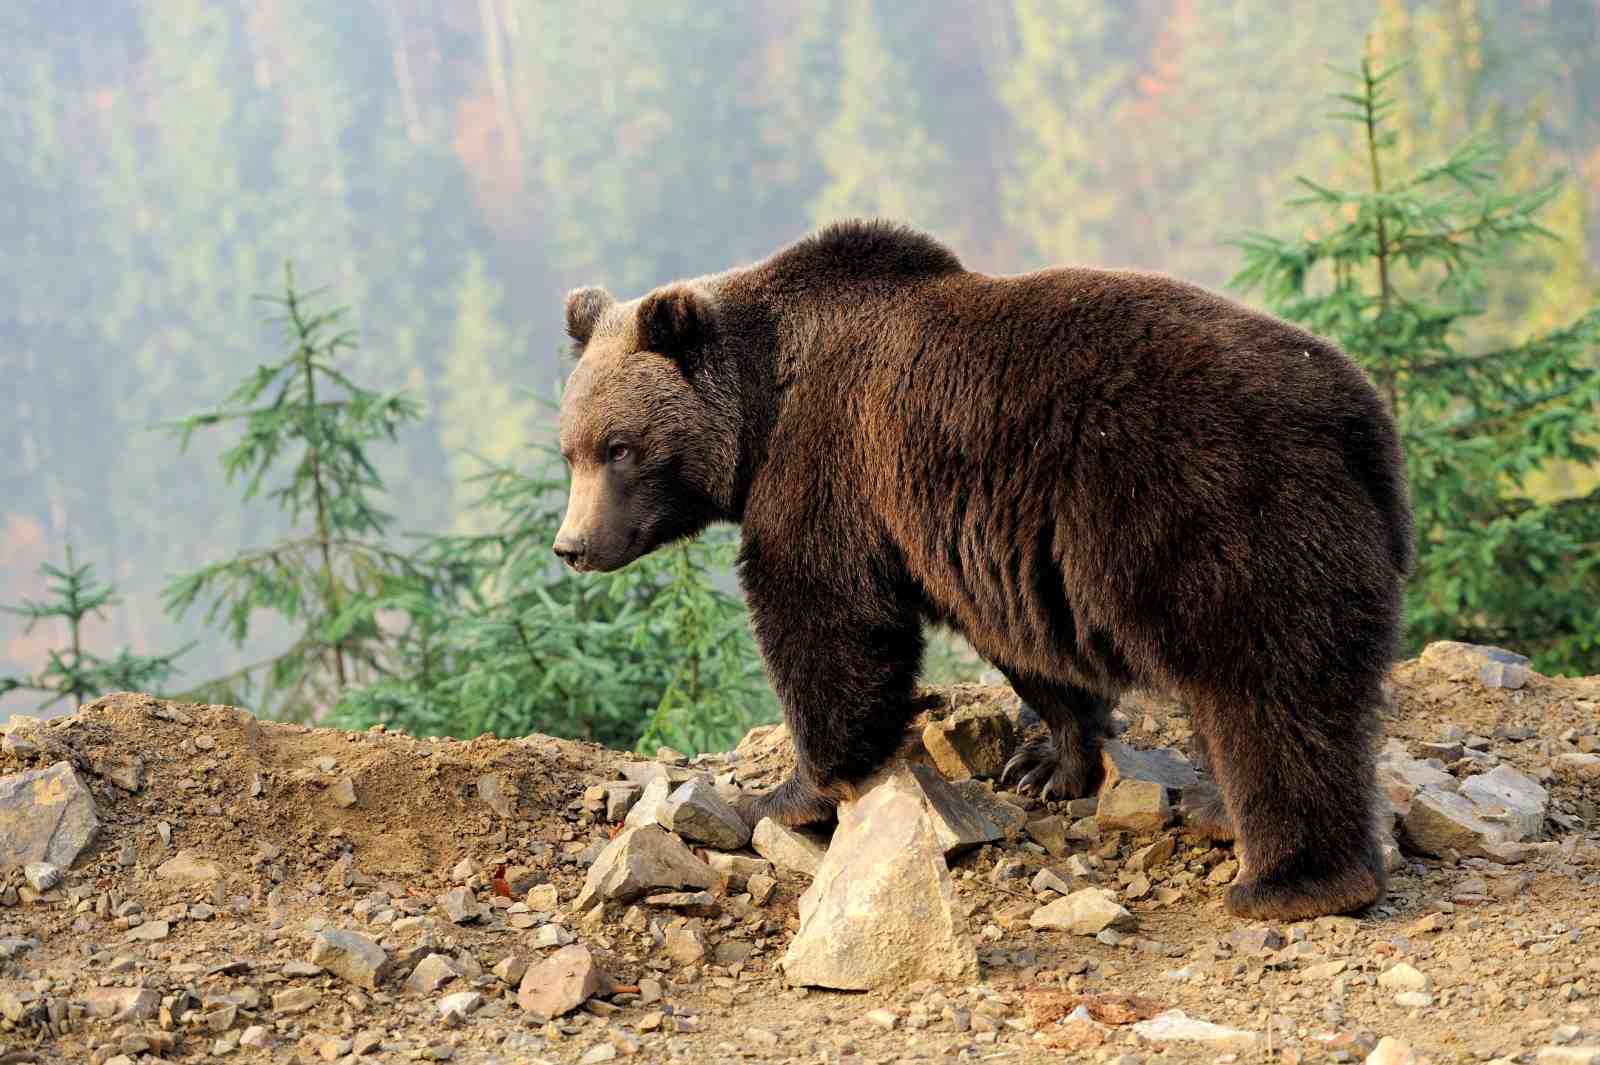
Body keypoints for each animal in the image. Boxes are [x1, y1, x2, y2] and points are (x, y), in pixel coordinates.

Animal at [553, 218, 1411, 921]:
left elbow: (825, 617)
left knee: (1269, 693)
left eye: (621, 446)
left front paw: (788, 793)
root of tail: (1361, 415)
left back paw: (1290, 879)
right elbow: (1023, 645)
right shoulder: (981, 538)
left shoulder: (831, 465)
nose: (573, 544)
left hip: (1217, 515)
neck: (764, 405)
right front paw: (1047, 762)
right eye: (571, 449)